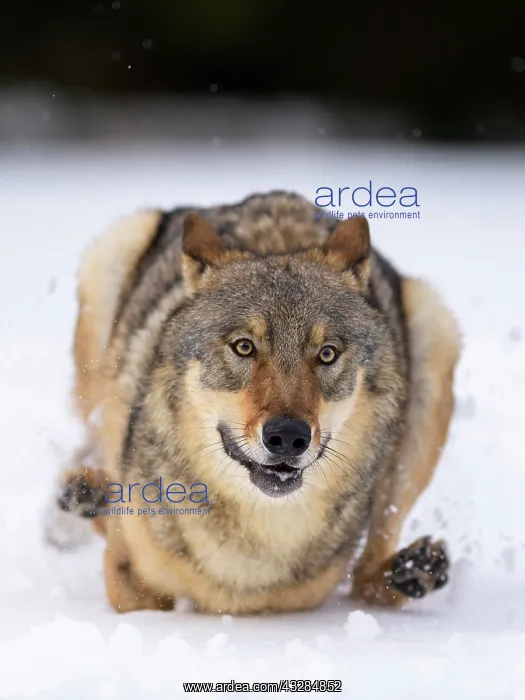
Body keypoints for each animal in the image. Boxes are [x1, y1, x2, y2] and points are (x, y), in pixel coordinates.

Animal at [50, 191, 460, 614]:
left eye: (327, 354)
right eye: (244, 347)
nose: (288, 437)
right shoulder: (129, 581)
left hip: (434, 331)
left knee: (368, 576)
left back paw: (412, 571)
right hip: (114, 255)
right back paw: (88, 492)